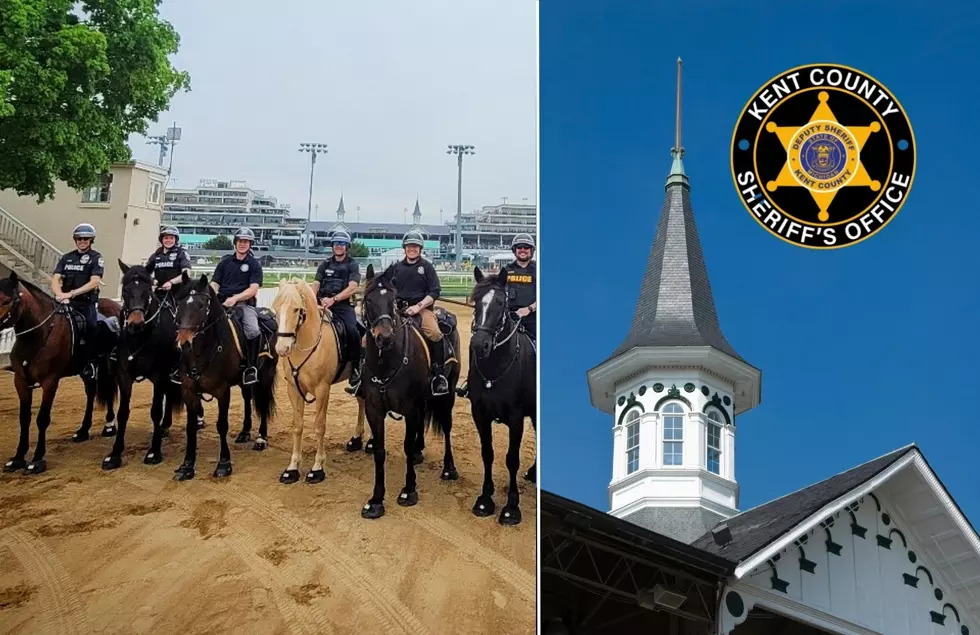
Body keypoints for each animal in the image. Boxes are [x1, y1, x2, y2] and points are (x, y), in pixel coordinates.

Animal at [0, 270, 120, 474]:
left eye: (7, 301)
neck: (40, 333)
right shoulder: (21, 381)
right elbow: (24, 418)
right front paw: (17, 458)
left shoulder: (50, 382)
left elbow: (42, 418)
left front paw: (37, 460)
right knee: (91, 393)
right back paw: (83, 430)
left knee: (108, 391)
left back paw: (110, 426)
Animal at [172, 270, 278, 480]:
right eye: (179, 303)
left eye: (201, 305)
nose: (183, 342)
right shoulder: (188, 391)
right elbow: (190, 427)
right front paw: (187, 466)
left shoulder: (222, 391)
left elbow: (222, 425)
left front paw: (223, 464)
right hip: (245, 381)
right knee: (247, 399)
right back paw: (245, 432)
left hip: (266, 376)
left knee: (262, 404)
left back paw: (261, 439)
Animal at [272, 278, 368, 482]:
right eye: (275, 308)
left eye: (296, 309)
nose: (282, 348)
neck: (307, 345)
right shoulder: (293, 389)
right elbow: (297, 426)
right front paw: (292, 467)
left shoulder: (322, 389)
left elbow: (319, 426)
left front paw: (317, 467)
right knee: (362, 401)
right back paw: (356, 439)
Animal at [358, 266, 462, 520]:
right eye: (368, 299)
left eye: (392, 301)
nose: (384, 337)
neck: (386, 362)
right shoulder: (374, 409)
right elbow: (379, 451)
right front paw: (376, 500)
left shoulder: (410, 407)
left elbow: (405, 445)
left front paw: (409, 490)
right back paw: (418, 451)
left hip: (447, 396)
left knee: (446, 427)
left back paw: (449, 468)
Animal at [466, 268, 536, 528]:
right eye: (475, 300)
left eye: (500, 303)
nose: (480, 345)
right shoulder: (480, 414)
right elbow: (488, 453)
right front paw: (485, 498)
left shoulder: (516, 418)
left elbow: (512, 459)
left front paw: (511, 507)